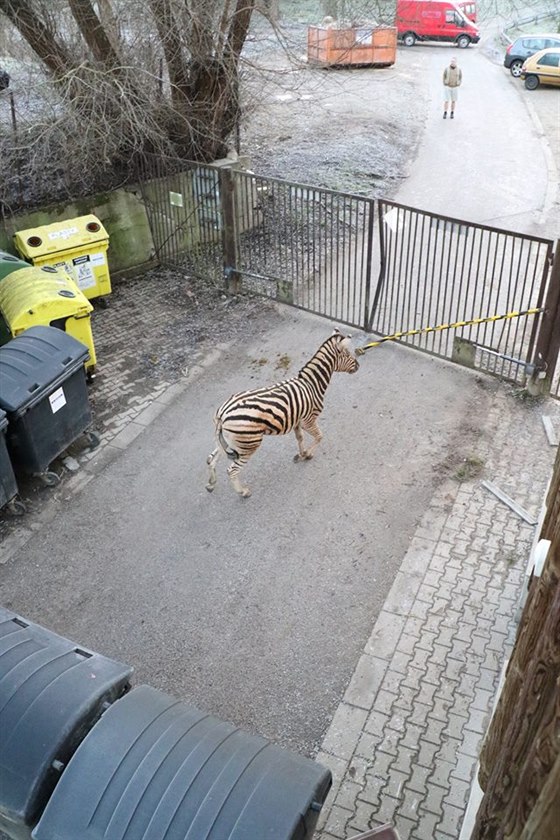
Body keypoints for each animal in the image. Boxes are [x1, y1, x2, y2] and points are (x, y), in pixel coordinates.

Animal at [206, 330, 358, 498]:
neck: (312, 384)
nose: (358, 365)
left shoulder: (298, 421)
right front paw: (306, 454)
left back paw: (211, 484)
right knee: (231, 470)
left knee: (211, 459)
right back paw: (243, 492)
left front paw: (302, 453)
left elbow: (300, 438)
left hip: (229, 441)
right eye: (348, 354)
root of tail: (222, 414)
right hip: (249, 444)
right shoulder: (308, 420)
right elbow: (319, 437)